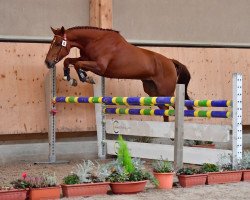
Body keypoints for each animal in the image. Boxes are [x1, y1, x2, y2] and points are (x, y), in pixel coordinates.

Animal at [45, 26, 193, 121]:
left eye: (58, 44)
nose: (47, 62)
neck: (96, 41)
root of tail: (170, 61)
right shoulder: (86, 59)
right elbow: (69, 61)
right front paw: (70, 78)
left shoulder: (99, 67)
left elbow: (77, 64)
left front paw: (84, 78)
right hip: (154, 92)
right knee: (165, 111)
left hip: (166, 92)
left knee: (176, 108)